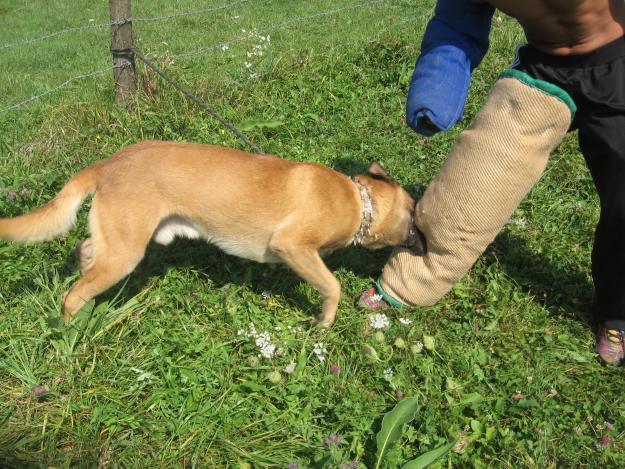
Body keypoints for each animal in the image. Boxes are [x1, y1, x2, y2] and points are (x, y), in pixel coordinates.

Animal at [1, 140, 424, 326]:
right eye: (416, 217)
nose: (425, 245)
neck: (359, 201)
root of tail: (107, 164)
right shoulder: (292, 247)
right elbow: (332, 286)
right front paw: (323, 323)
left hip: (118, 242)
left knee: (86, 251)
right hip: (124, 254)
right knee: (72, 297)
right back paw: (73, 333)